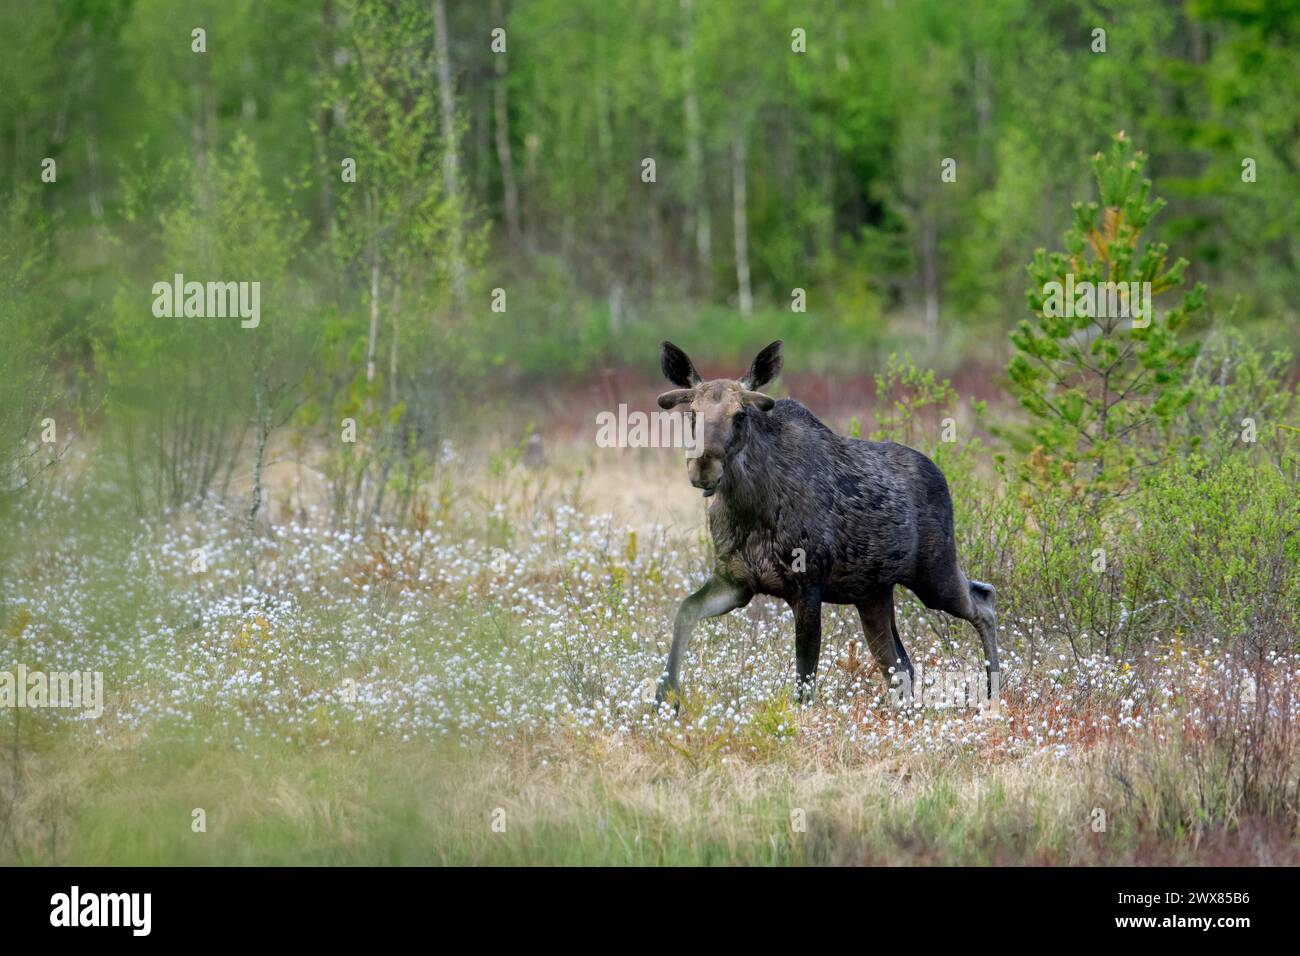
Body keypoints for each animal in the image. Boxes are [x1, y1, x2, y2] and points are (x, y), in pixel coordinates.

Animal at [655, 343, 998, 712]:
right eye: (692, 414)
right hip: (874, 595)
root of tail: (941, 475)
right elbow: (684, 611)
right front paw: (666, 699)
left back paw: (994, 692)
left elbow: (805, 682)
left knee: (984, 601)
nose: (703, 468)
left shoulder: (807, 585)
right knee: (901, 665)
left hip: (934, 574)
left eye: (740, 415)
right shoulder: (736, 582)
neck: (747, 509)